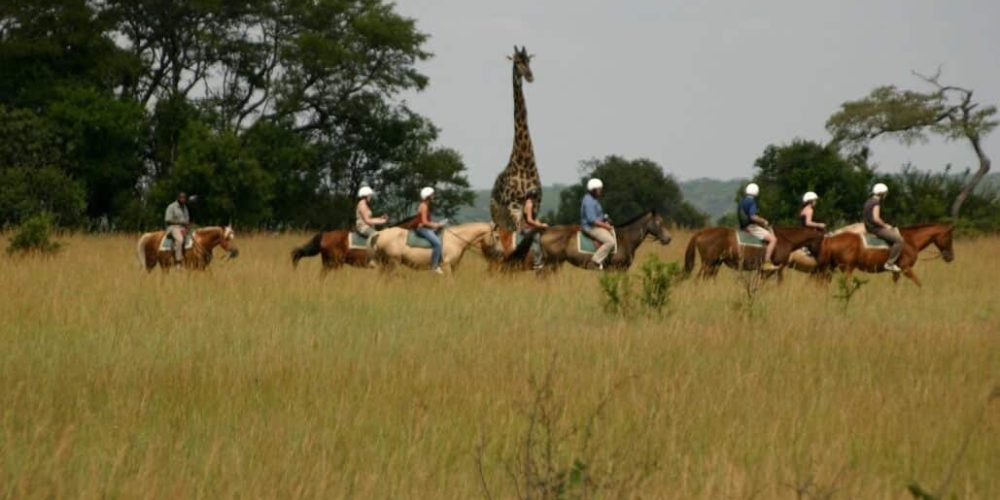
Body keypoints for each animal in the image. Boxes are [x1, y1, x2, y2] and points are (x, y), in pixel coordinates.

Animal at [372, 222, 500, 274]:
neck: (456, 240)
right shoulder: (446, 265)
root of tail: (380, 233)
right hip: (393, 262)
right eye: (497, 237)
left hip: (386, 263)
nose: (498, 253)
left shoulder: (454, 267)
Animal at [490, 45, 540, 232]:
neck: (524, 158)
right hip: (498, 215)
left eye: (529, 60)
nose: (530, 76)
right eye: (517, 61)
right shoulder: (514, 207)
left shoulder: (535, 204)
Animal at [504, 211, 676, 274]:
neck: (626, 238)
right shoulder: (617, 269)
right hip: (552, 263)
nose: (668, 238)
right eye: (659, 223)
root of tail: (544, 230)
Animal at [684, 226, 824, 278]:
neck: (785, 240)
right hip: (709, 263)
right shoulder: (773, 269)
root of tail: (701, 232)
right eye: (821, 240)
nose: (820, 257)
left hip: (715, 264)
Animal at [816, 225, 956, 288]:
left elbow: (895, 285)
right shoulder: (906, 269)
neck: (911, 241)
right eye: (949, 238)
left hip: (832, 268)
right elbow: (918, 283)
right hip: (847, 268)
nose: (951, 257)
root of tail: (831, 239)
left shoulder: (897, 271)